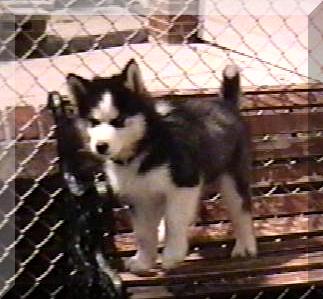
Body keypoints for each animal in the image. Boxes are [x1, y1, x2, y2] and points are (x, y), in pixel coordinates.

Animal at [66, 59, 258, 276]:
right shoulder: (139, 197)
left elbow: (173, 220)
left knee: (241, 211)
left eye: (119, 121)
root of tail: (225, 103)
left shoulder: (184, 184)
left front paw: (172, 255)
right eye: (94, 122)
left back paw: (245, 246)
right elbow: (142, 233)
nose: (100, 146)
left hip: (232, 179)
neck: (143, 149)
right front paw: (143, 261)